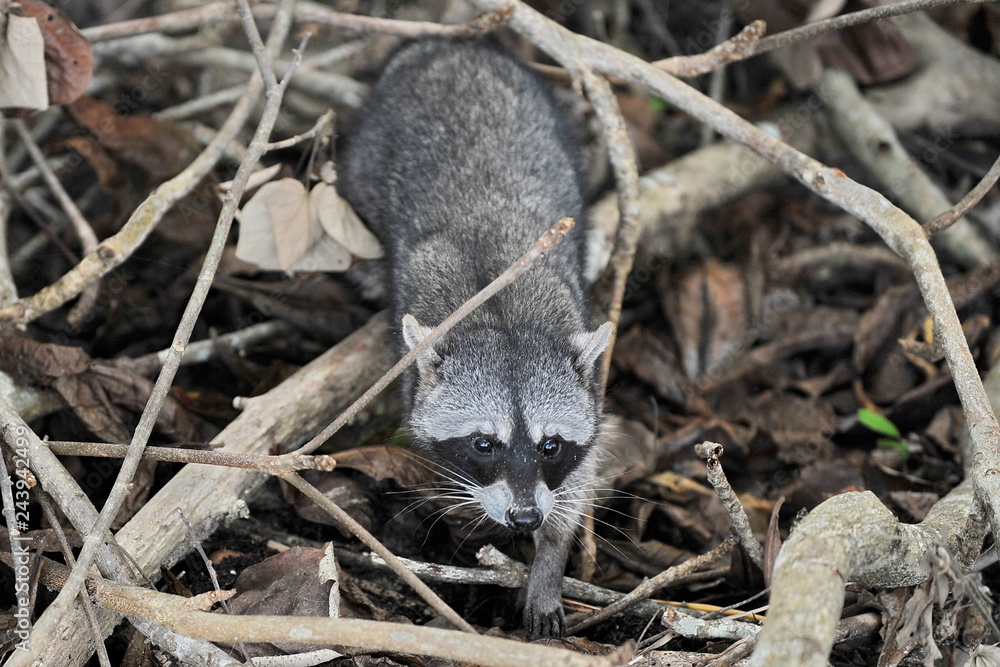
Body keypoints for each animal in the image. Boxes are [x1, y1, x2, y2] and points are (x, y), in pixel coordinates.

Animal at [340, 39, 612, 637]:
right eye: (484, 444)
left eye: (550, 445)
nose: (524, 517)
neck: (503, 320)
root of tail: (450, 46)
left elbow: (573, 488)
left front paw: (549, 562)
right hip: (370, 151)